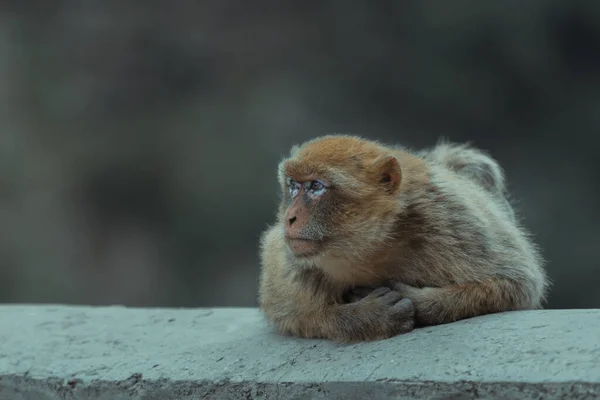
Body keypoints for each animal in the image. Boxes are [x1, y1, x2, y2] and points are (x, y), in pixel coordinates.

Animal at [258, 134, 548, 340]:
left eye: (316, 187)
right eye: (293, 186)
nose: (289, 218)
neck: (371, 247)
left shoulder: (452, 220)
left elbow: (517, 283)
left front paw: (420, 302)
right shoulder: (292, 260)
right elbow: (286, 310)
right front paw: (365, 316)